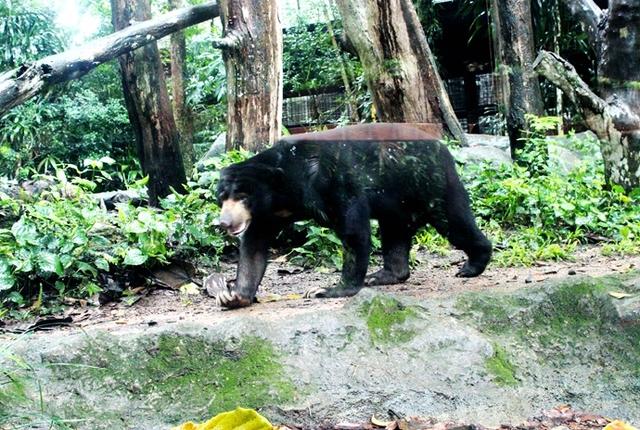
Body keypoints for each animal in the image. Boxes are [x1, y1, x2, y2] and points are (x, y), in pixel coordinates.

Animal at [214, 124, 490, 310]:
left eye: (242, 197)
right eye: (222, 197)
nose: (223, 223)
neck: (283, 188)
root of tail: (441, 145)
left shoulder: (332, 182)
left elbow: (353, 230)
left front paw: (327, 289)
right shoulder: (267, 212)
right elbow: (254, 245)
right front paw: (233, 296)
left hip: (428, 181)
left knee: (453, 220)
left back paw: (471, 265)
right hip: (398, 200)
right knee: (395, 231)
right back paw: (384, 275)